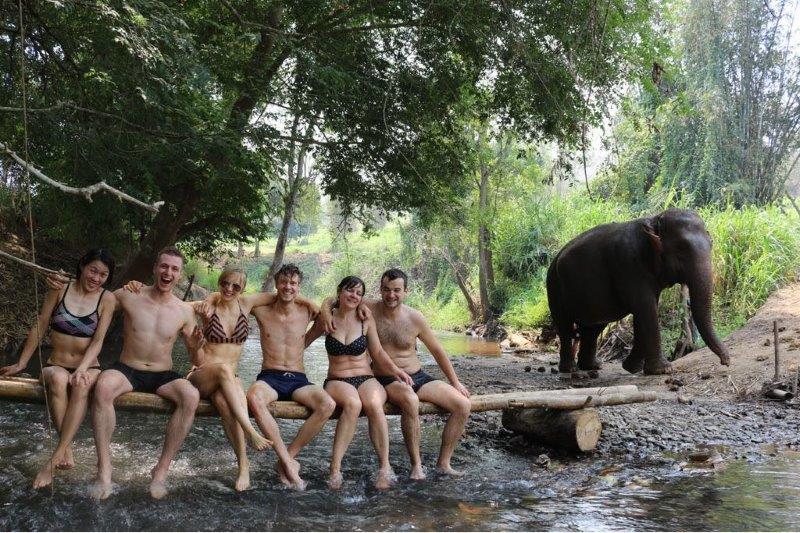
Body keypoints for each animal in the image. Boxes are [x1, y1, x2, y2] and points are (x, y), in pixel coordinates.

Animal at [546, 208, 730, 375]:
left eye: (711, 243)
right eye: (681, 248)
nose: (726, 362)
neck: (654, 218)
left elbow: (647, 308)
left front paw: (632, 368)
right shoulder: (629, 264)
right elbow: (646, 307)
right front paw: (663, 370)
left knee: (593, 328)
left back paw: (592, 366)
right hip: (553, 286)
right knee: (565, 326)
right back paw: (570, 369)